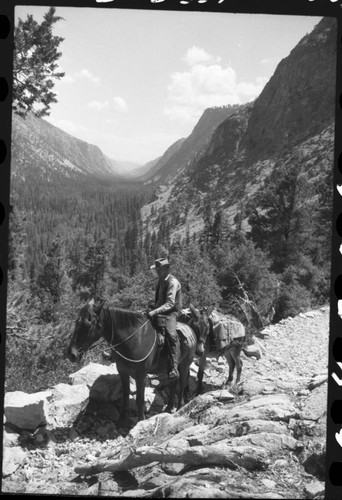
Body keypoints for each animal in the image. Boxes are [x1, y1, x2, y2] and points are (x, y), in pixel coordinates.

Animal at [67, 300, 210, 422]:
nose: (71, 354)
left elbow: (140, 399)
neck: (134, 339)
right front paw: (123, 420)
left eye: (87, 324)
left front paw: (140, 420)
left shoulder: (141, 375)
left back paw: (179, 406)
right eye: (76, 322)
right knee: (174, 382)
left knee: (182, 382)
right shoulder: (123, 371)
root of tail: (191, 330)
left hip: (184, 364)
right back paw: (169, 407)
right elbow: (125, 395)